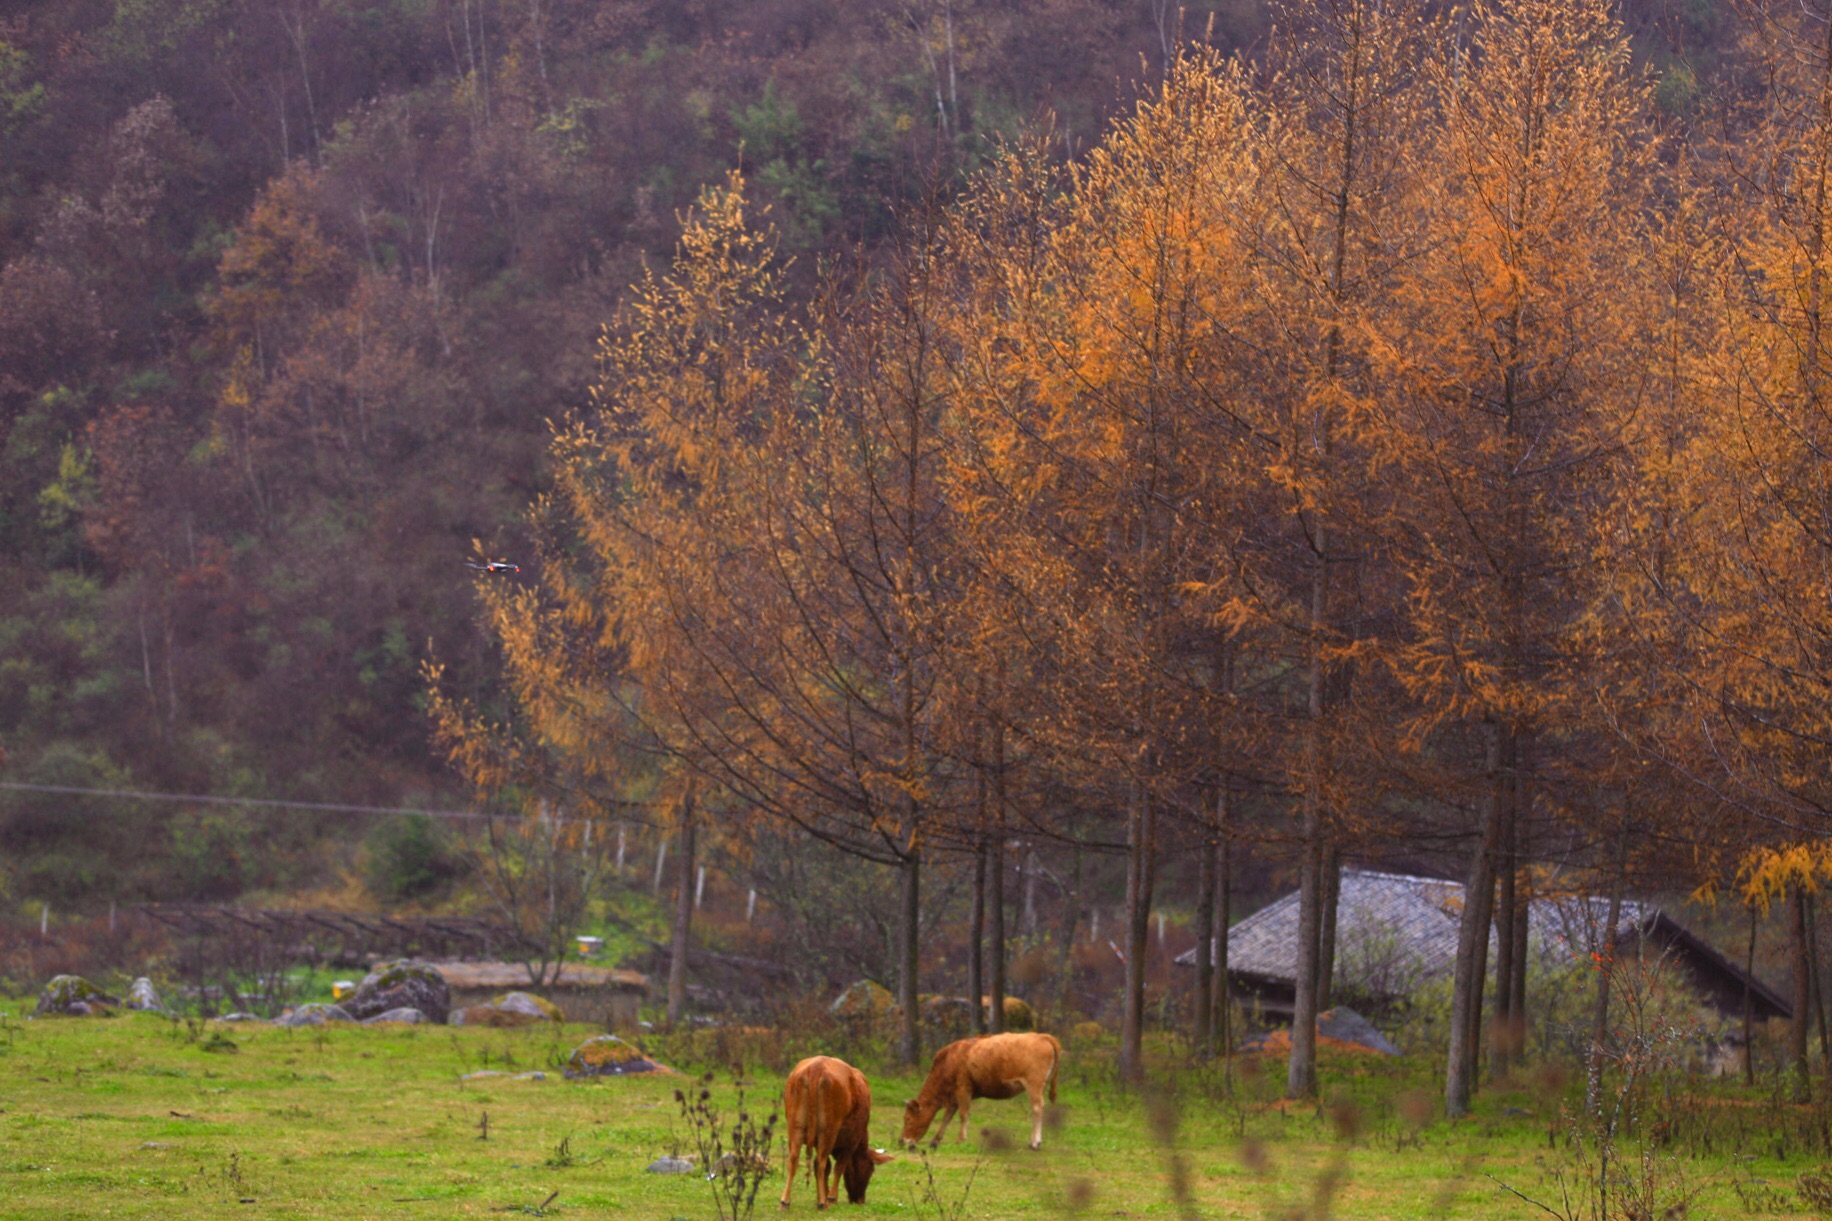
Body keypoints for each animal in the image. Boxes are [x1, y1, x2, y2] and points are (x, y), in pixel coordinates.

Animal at [776, 1048, 890, 1202]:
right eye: (871, 1170)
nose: (859, 1200)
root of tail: (816, 1067)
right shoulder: (851, 1142)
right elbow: (838, 1167)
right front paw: (830, 1197)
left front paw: (822, 1196)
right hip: (828, 1131)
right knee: (822, 1162)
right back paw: (823, 1202)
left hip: (795, 1128)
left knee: (795, 1159)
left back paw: (785, 1201)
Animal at [897, 1034, 1062, 1144]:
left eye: (907, 1118)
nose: (902, 1140)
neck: (948, 1061)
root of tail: (1042, 1036)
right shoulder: (953, 1098)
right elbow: (947, 1116)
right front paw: (936, 1140)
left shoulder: (963, 1089)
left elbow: (963, 1114)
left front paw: (961, 1139)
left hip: (1034, 1085)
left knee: (1037, 1108)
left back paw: (1035, 1142)